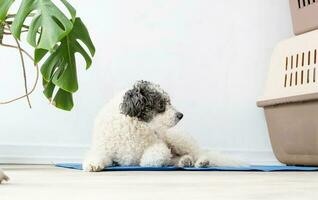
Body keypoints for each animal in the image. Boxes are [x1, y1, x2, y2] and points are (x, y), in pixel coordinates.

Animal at [82, 80, 243, 171]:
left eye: (169, 101)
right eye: (161, 104)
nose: (180, 115)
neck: (135, 125)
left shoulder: (160, 146)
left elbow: (152, 158)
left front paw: (143, 162)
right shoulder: (103, 148)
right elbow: (97, 155)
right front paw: (92, 164)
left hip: (178, 139)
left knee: (198, 153)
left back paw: (200, 162)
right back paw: (185, 161)